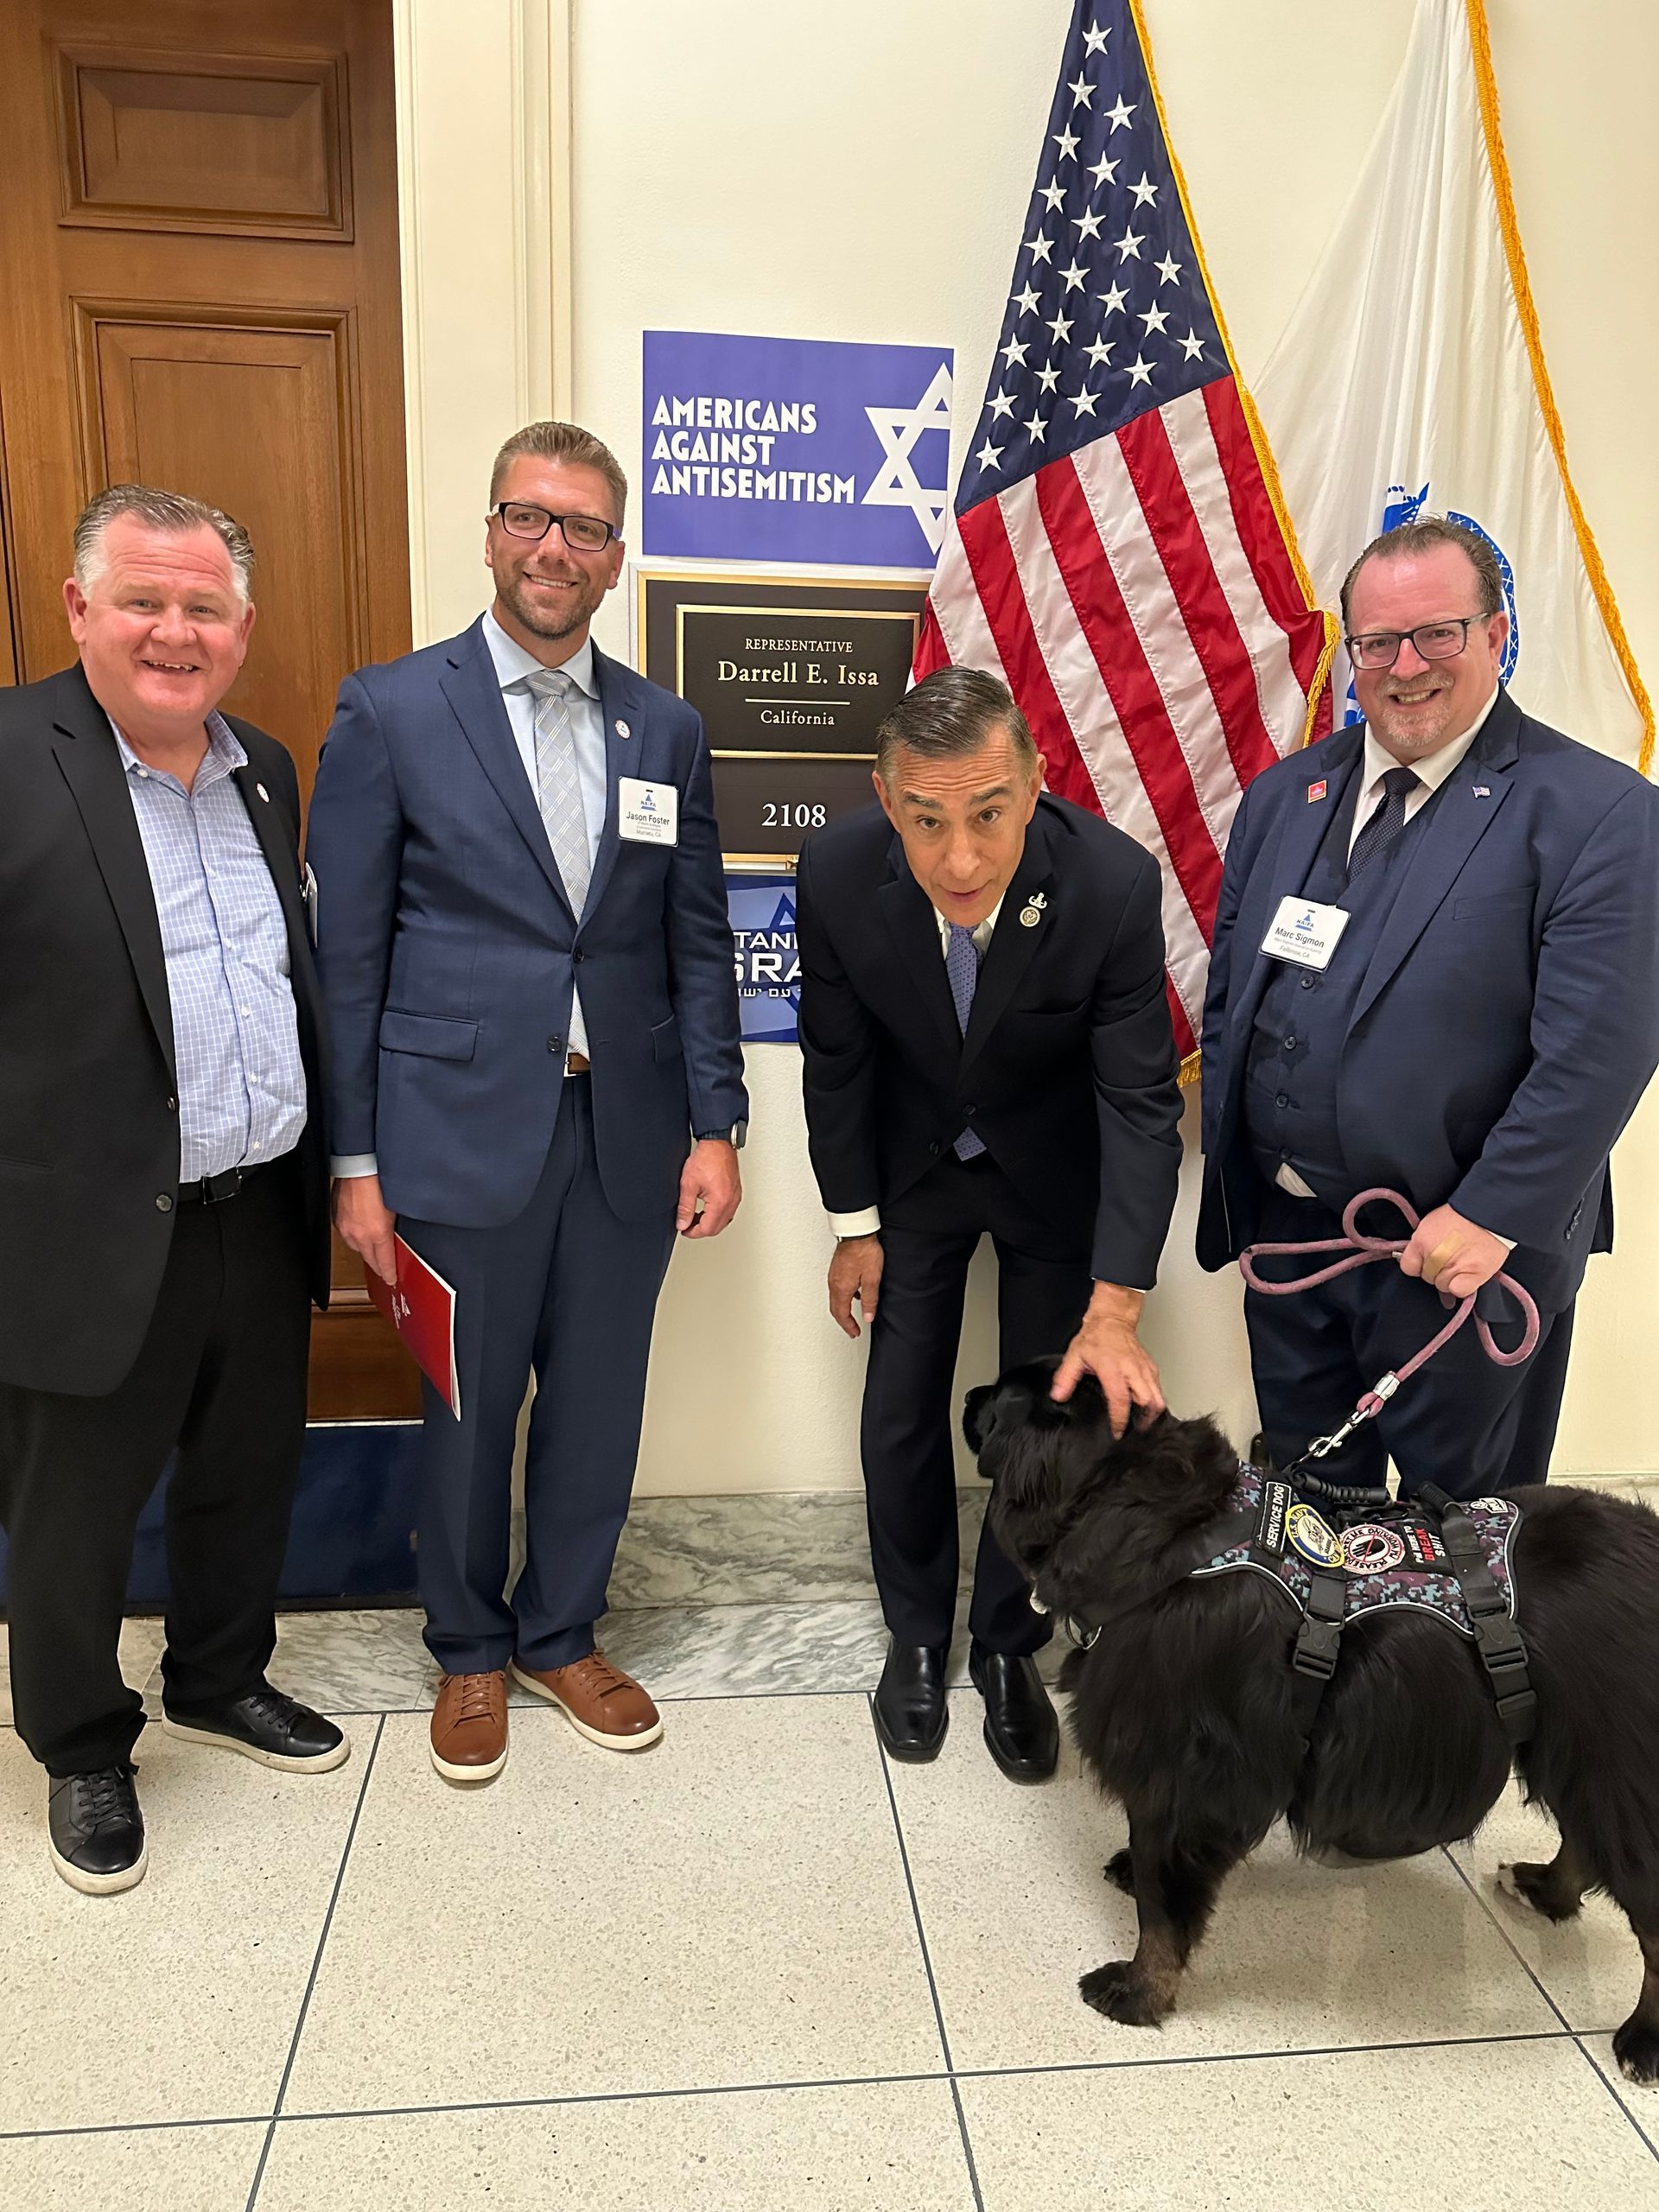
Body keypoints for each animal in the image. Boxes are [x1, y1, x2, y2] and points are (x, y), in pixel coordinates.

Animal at [969, 1353, 1659, 2079]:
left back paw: (1645, 2037)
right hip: (1584, 1756)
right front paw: (1134, 1876)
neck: (1163, 1535)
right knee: (1587, 1839)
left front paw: (1139, 1992)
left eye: (1001, 1400)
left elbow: (1162, 1911)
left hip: (1616, 1763)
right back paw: (1548, 1890)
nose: (970, 1395)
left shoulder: (1184, 1777)